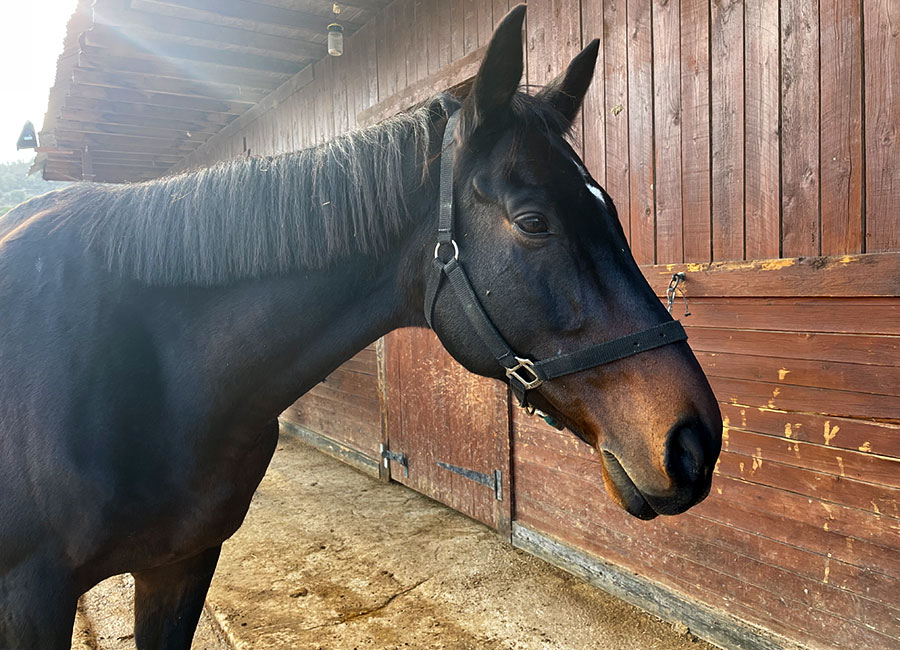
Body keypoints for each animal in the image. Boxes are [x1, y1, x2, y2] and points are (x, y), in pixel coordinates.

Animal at [0, 6, 721, 648]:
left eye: (610, 208)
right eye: (533, 221)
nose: (694, 441)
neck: (153, 378)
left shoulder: (180, 566)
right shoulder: (29, 599)